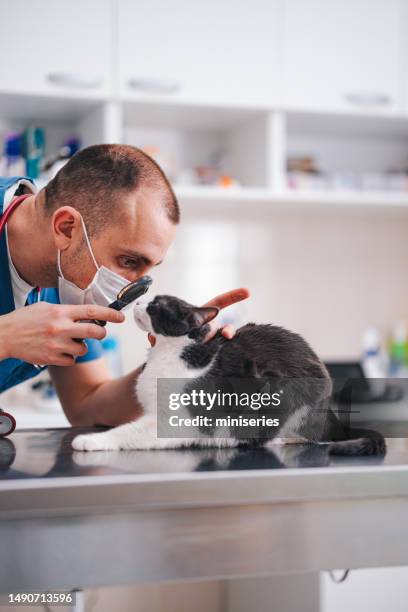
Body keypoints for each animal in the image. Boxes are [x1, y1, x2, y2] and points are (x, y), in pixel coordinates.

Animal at [72, 294, 386, 456]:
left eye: (157, 305)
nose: (138, 302)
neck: (169, 352)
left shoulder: (174, 422)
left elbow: (129, 432)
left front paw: (91, 441)